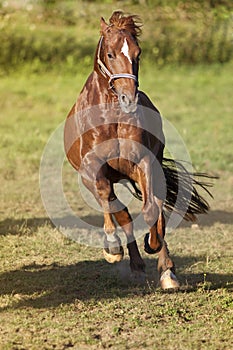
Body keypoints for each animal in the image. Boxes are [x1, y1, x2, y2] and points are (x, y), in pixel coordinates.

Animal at [63, 10, 211, 290]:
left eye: (138, 53)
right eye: (110, 54)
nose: (129, 99)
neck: (111, 117)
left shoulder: (144, 162)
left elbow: (151, 209)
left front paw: (157, 255)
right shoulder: (92, 168)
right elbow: (113, 204)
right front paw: (112, 248)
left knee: (156, 205)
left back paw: (164, 268)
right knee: (119, 210)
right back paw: (135, 265)